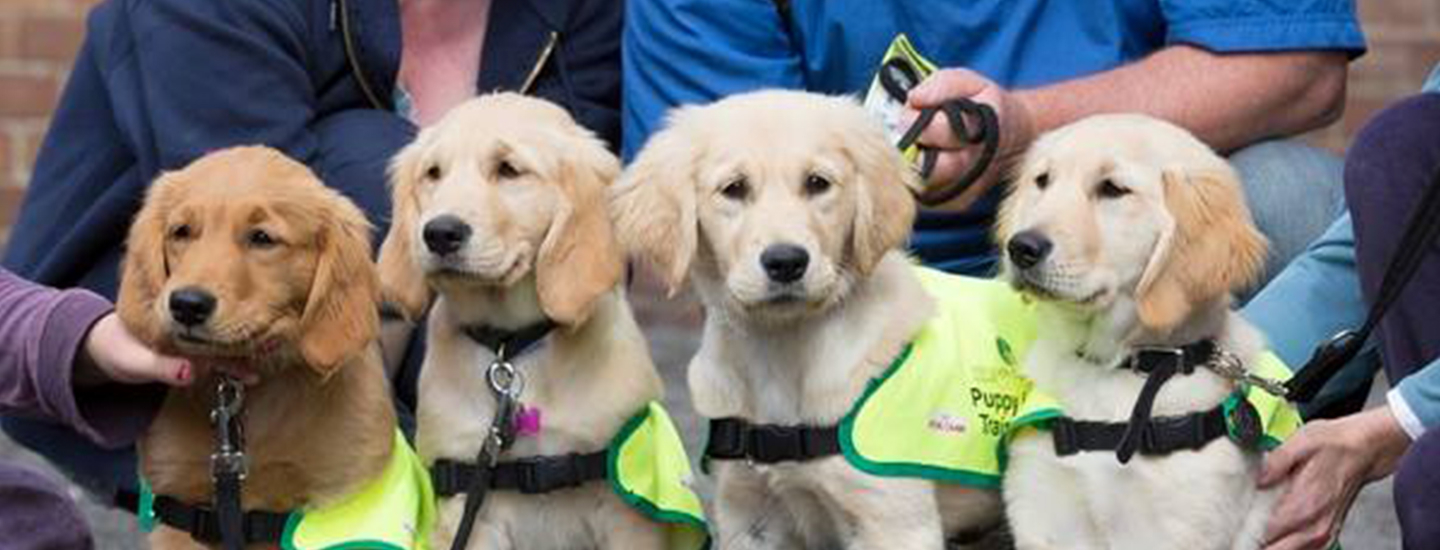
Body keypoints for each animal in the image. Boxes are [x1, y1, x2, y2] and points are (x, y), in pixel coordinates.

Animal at [377, 94, 702, 550]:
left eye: (509, 170)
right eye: (433, 173)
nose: (439, 233)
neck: (511, 346)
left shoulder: (624, 507)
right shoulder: (469, 506)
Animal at [607, 91, 1002, 550]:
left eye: (817, 183)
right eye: (734, 188)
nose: (786, 262)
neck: (783, 351)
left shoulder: (895, 521)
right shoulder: (747, 514)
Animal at [996, 113, 1290, 547]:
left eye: (1113, 189)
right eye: (1042, 181)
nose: (1021, 248)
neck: (1111, 372)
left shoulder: (1179, 525)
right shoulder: (1044, 510)